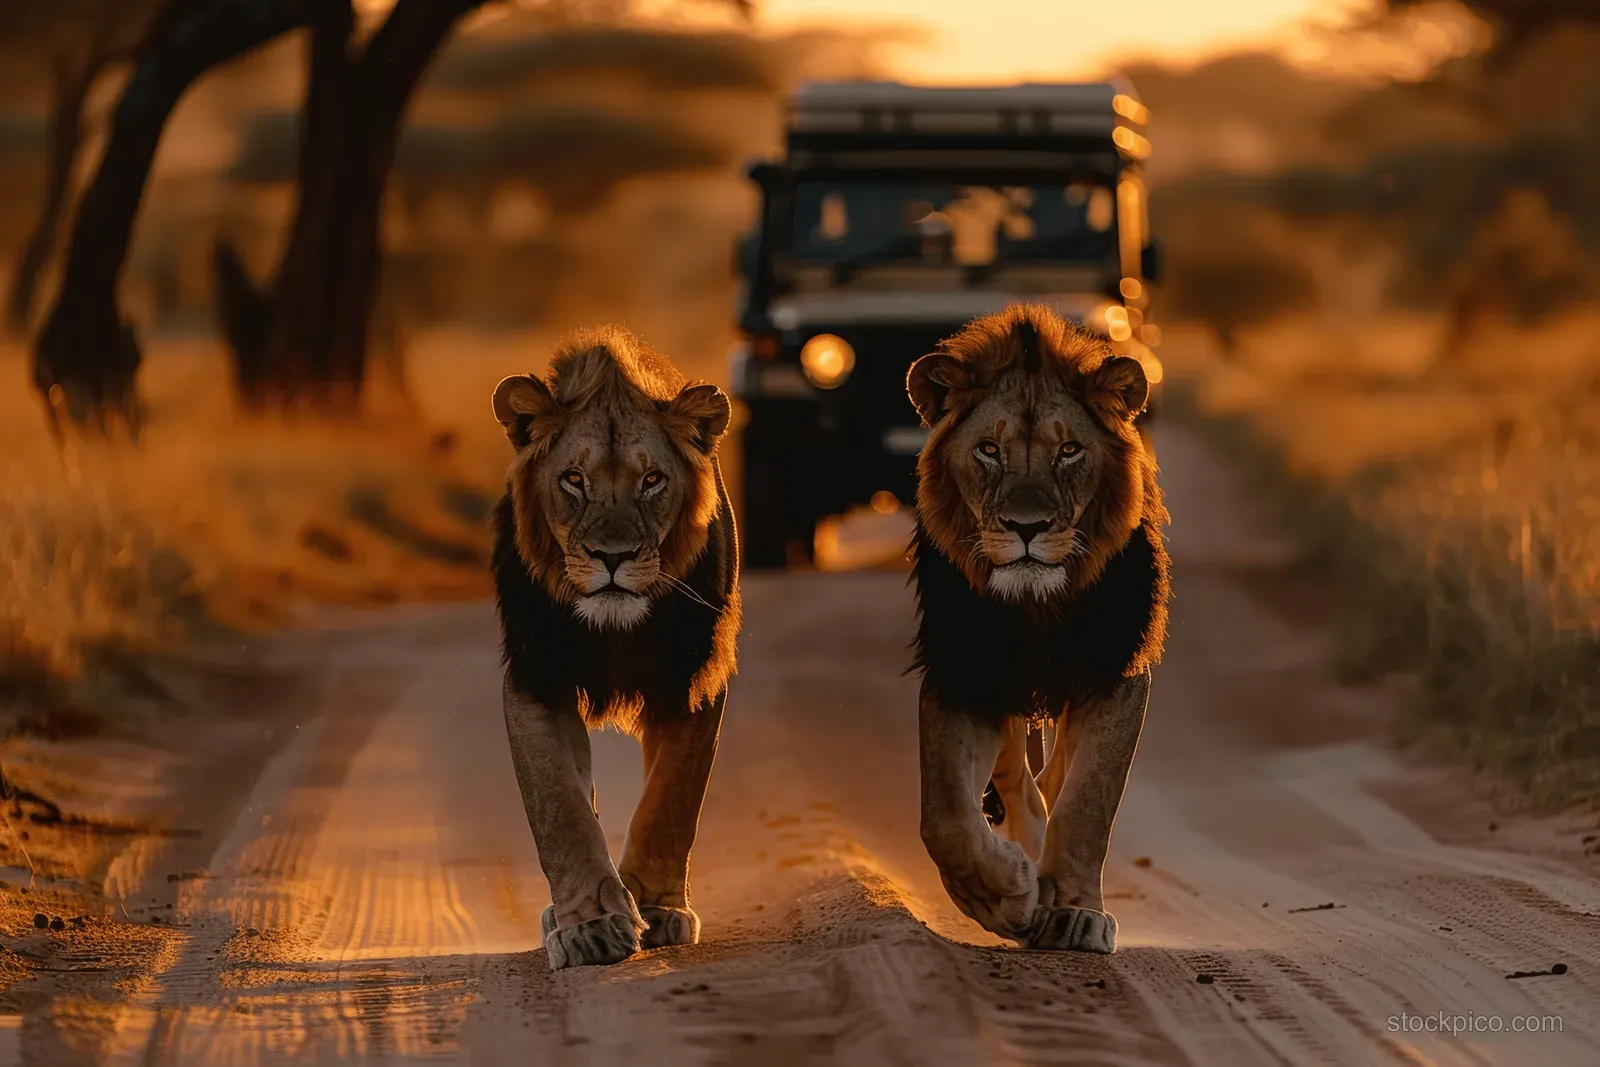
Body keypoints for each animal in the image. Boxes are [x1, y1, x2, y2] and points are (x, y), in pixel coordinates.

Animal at [491, 326, 740, 970]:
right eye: (573, 480)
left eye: (652, 481)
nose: (612, 557)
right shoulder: (536, 674)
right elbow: (560, 809)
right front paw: (590, 926)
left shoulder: (692, 679)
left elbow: (670, 802)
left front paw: (654, 908)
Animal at [905, 304, 1170, 953]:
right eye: (989, 450)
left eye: (1069, 450)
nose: (1027, 527)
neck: (1034, 604)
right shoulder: (964, 673)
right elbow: (945, 817)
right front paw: (1001, 894)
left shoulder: (1114, 671)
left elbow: (1087, 802)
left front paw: (1075, 913)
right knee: (1017, 780)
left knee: (1054, 780)